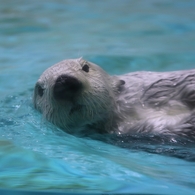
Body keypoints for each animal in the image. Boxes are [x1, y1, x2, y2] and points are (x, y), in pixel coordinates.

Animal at [33, 58, 195, 139]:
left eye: (85, 67)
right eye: (40, 90)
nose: (63, 83)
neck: (122, 113)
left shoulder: (148, 86)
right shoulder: (141, 130)